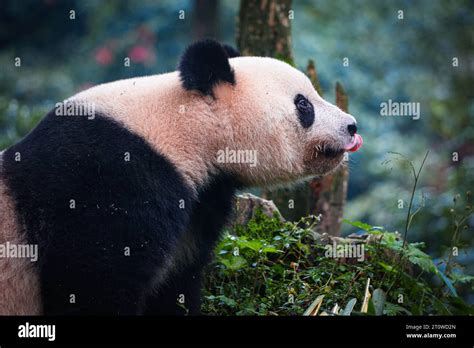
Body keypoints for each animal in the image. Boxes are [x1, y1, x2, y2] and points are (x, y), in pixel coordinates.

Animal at [0, 40, 362, 316]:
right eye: (303, 105)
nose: (351, 126)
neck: (187, 128)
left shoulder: (202, 198)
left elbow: (176, 279)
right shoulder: (106, 178)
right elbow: (93, 280)